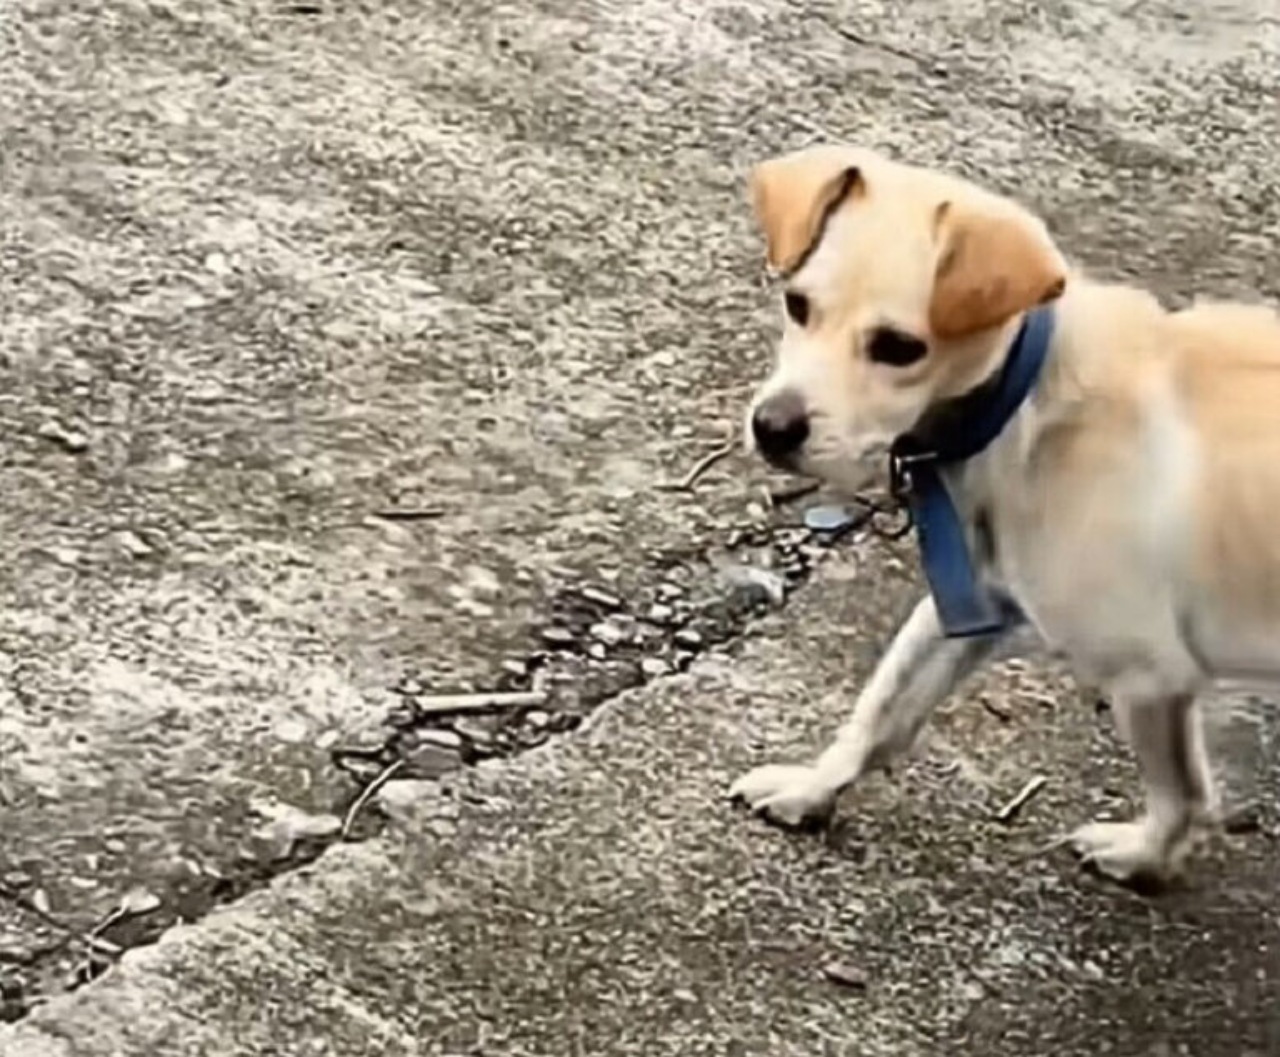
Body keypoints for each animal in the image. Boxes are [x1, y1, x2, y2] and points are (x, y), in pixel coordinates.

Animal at [732, 140, 1280, 880]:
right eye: (797, 304)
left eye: (899, 348)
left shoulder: (1147, 674)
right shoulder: (969, 601)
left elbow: (1181, 794)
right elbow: (880, 711)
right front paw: (811, 787)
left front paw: (1145, 857)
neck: (1025, 404)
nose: (772, 427)